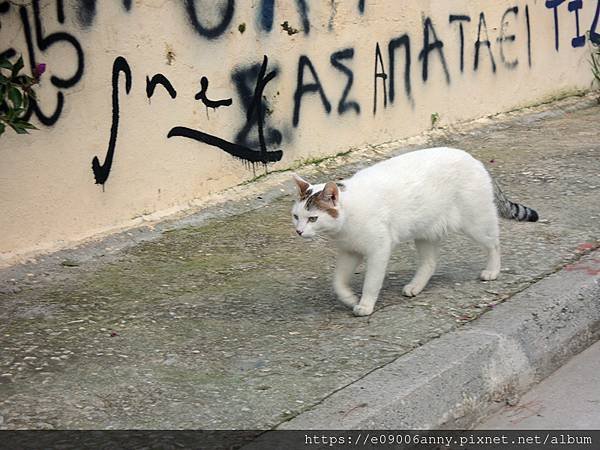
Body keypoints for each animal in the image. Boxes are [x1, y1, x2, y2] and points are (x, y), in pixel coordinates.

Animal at [292, 148, 540, 316]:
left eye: (313, 218)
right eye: (296, 216)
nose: (299, 232)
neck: (348, 216)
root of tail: (474, 159)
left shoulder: (378, 250)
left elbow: (371, 282)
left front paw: (365, 304)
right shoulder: (350, 251)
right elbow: (338, 282)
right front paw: (350, 298)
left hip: (475, 223)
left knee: (494, 243)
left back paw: (492, 271)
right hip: (426, 232)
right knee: (430, 263)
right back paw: (415, 286)